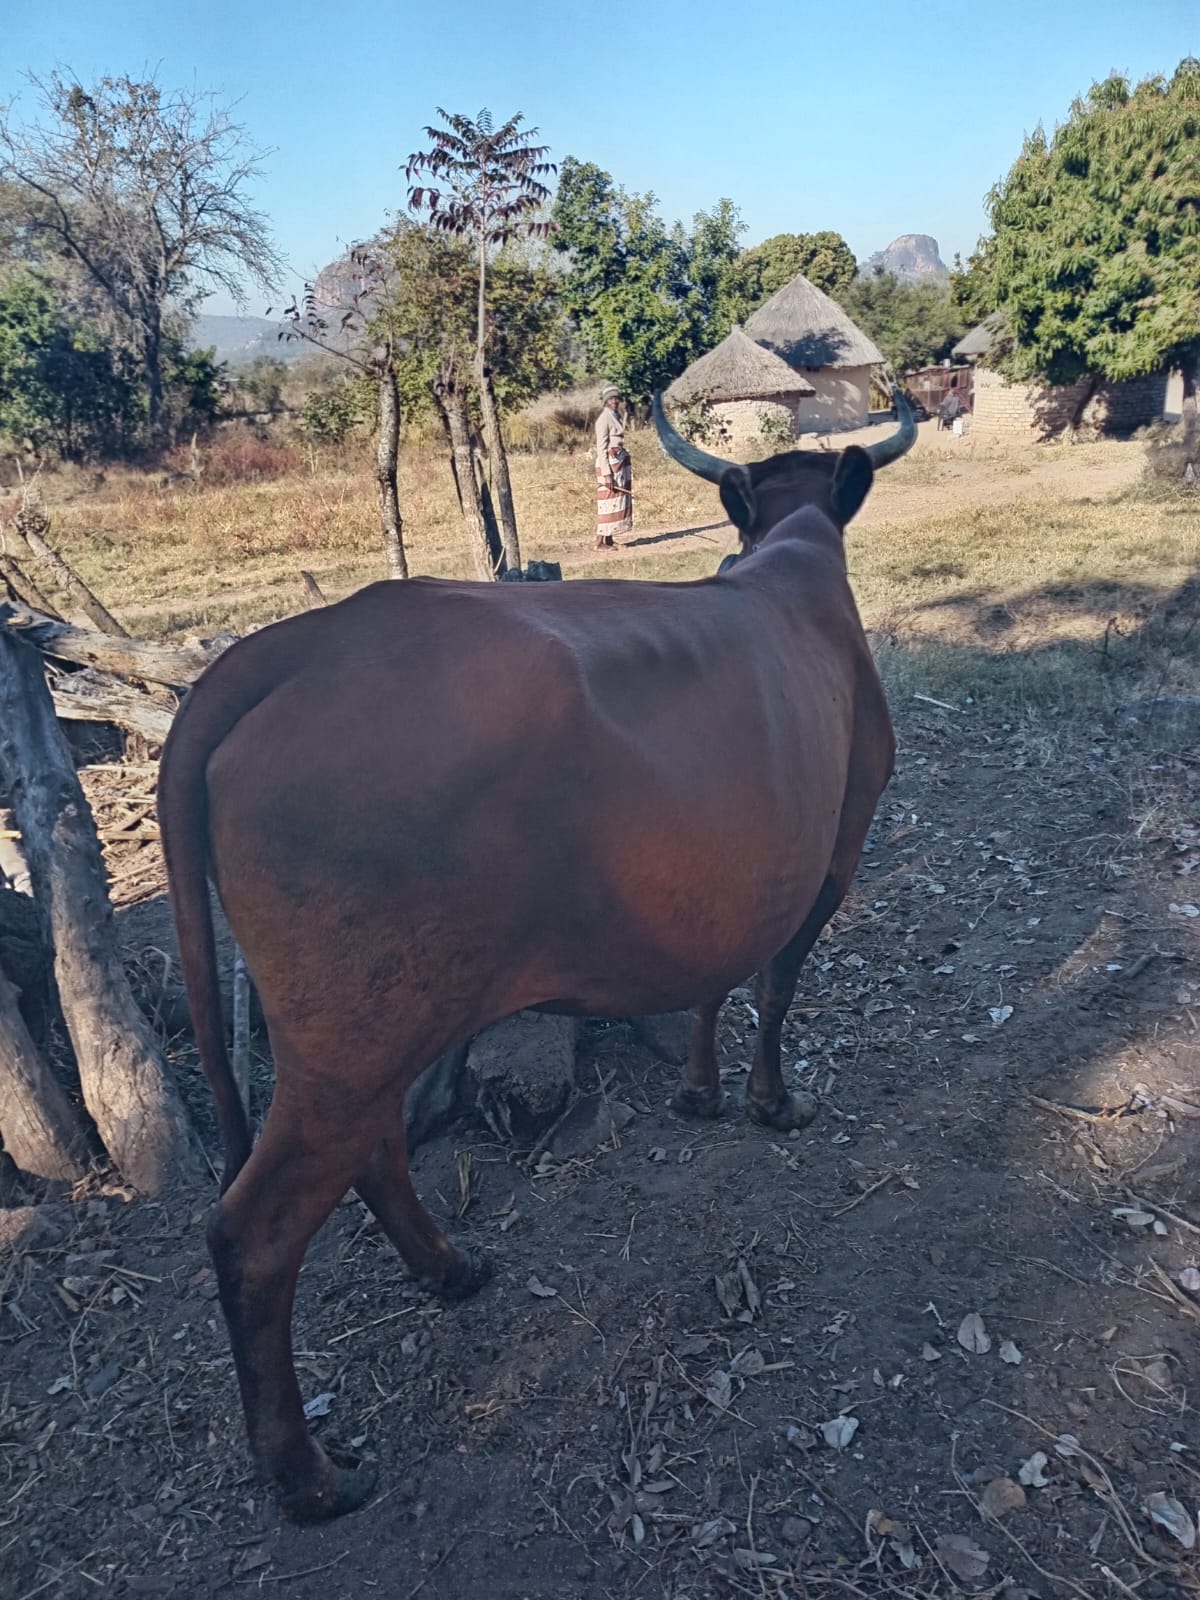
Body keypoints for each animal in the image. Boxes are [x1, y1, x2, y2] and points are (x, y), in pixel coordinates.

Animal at [157, 392, 916, 1522]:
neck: (792, 553)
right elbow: (776, 987)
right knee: (253, 1235)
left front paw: (700, 1090)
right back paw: (307, 1476)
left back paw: (450, 1270)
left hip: (361, 1035)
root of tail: (287, 647)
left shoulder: (738, 881)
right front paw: (773, 1101)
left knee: (374, 1149)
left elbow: (715, 984)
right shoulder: (839, 845)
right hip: (354, 1039)